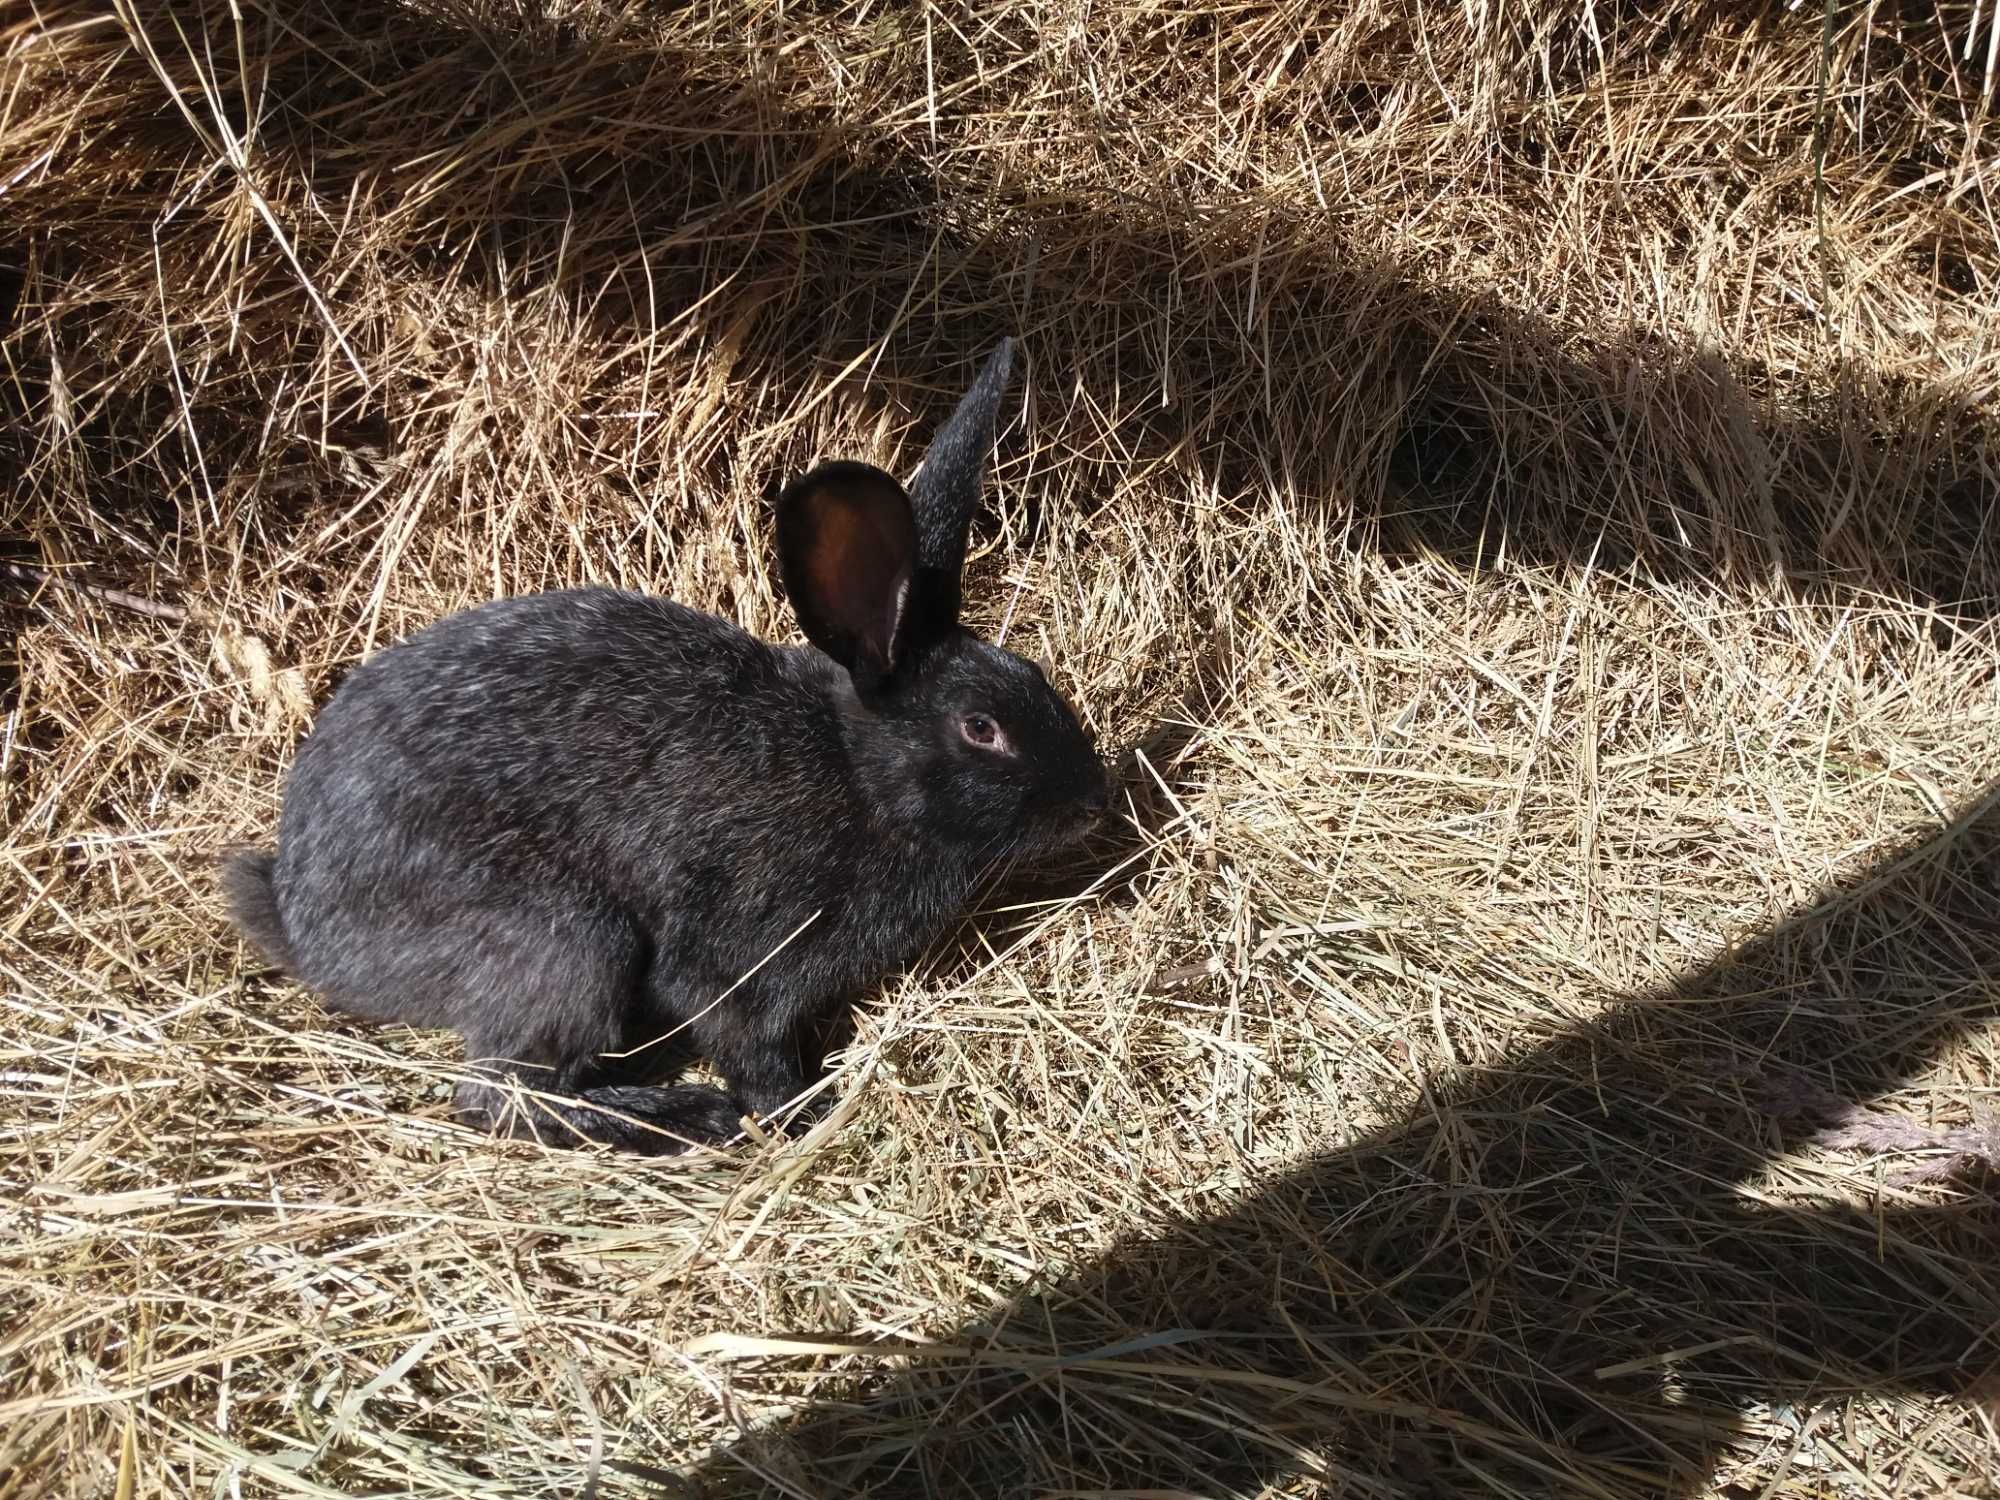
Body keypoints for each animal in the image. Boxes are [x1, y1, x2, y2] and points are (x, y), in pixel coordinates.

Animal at [227, 344, 1120, 1160]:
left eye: (1036, 677)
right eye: (981, 728)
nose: (1094, 799)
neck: (860, 774)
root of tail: (313, 936)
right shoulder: (742, 958)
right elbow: (745, 1041)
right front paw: (802, 1114)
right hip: (566, 938)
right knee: (502, 1095)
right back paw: (682, 1117)